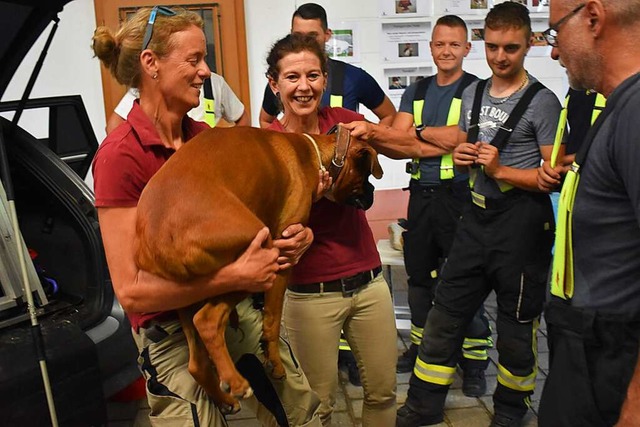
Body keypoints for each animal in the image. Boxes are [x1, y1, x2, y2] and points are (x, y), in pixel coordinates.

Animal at [134, 125, 380, 412]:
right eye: (366, 175)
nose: (373, 194)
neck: (314, 155)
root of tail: (159, 239)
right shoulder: (284, 256)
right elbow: (271, 319)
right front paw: (275, 363)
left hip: (185, 299)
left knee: (197, 363)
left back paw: (224, 398)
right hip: (257, 264)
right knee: (208, 320)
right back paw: (236, 383)